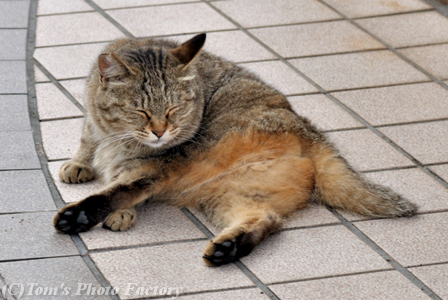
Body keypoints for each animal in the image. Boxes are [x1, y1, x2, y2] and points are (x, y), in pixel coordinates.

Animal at [52, 34, 416, 266]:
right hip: (232, 194)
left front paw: (111, 211)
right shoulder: (95, 123)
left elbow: (121, 187)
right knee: (267, 218)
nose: (160, 132)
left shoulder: (152, 164)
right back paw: (229, 247)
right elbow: (88, 138)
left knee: (135, 185)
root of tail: (310, 131)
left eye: (174, 110)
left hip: (201, 157)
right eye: (140, 112)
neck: (118, 138)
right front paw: (80, 162)